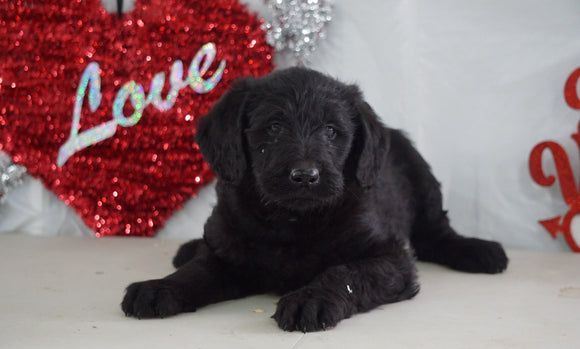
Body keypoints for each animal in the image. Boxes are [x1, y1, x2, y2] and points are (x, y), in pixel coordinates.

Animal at [122, 68, 508, 332]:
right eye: (274, 128)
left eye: (332, 131)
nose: (306, 176)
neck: (292, 220)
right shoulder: (227, 253)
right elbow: (199, 270)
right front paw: (160, 287)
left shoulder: (390, 256)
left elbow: (346, 272)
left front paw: (311, 299)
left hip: (422, 179)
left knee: (435, 235)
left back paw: (478, 251)